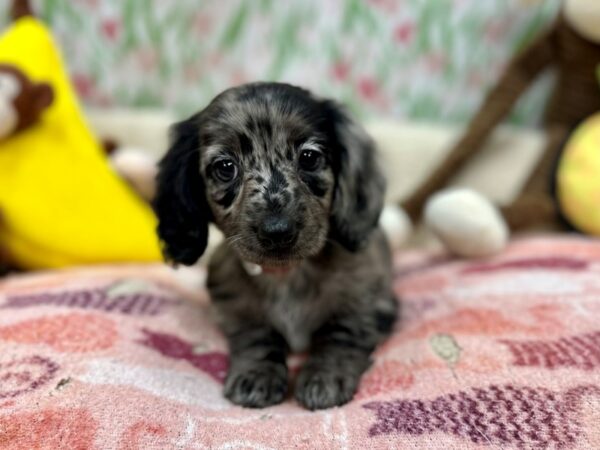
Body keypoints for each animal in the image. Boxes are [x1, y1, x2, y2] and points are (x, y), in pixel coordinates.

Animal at [155, 82, 398, 410]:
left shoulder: (368, 302)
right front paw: (257, 374)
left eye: (309, 157)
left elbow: (340, 334)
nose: (278, 231)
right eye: (225, 167)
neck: (287, 275)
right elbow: (256, 336)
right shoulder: (234, 306)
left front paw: (324, 376)